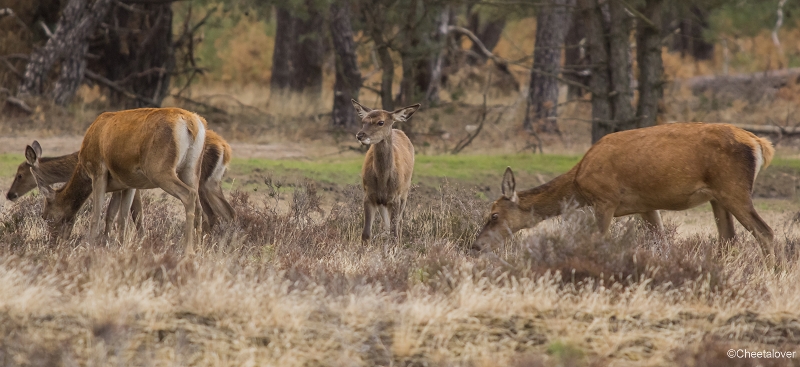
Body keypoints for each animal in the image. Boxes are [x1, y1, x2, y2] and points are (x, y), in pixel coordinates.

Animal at [28, 107, 206, 253]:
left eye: (46, 216)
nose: (53, 243)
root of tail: (193, 124)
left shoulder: (98, 172)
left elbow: (96, 215)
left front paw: (90, 246)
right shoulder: (126, 184)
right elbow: (117, 216)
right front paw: (115, 245)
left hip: (160, 170)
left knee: (188, 195)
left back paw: (188, 249)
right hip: (191, 169)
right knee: (198, 203)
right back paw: (199, 248)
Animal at [354, 98, 422, 253]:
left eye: (380, 122)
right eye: (363, 121)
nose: (360, 135)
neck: (383, 180)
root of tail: (398, 130)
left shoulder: (395, 197)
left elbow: (394, 233)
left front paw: (392, 252)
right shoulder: (369, 196)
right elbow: (366, 234)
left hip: (405, 192)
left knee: (398, 224)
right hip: (383, 203)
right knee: (385, 225)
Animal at [476, 122, 776, 258]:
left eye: (494, 215)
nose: (477, 245)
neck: (578, 185)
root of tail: (759, 143)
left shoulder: (604, 199)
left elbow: (599, 239)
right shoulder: (646, 205)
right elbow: (661, 241)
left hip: (734, 188)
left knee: (766, 232)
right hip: (718, 196)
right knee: (728, 238)